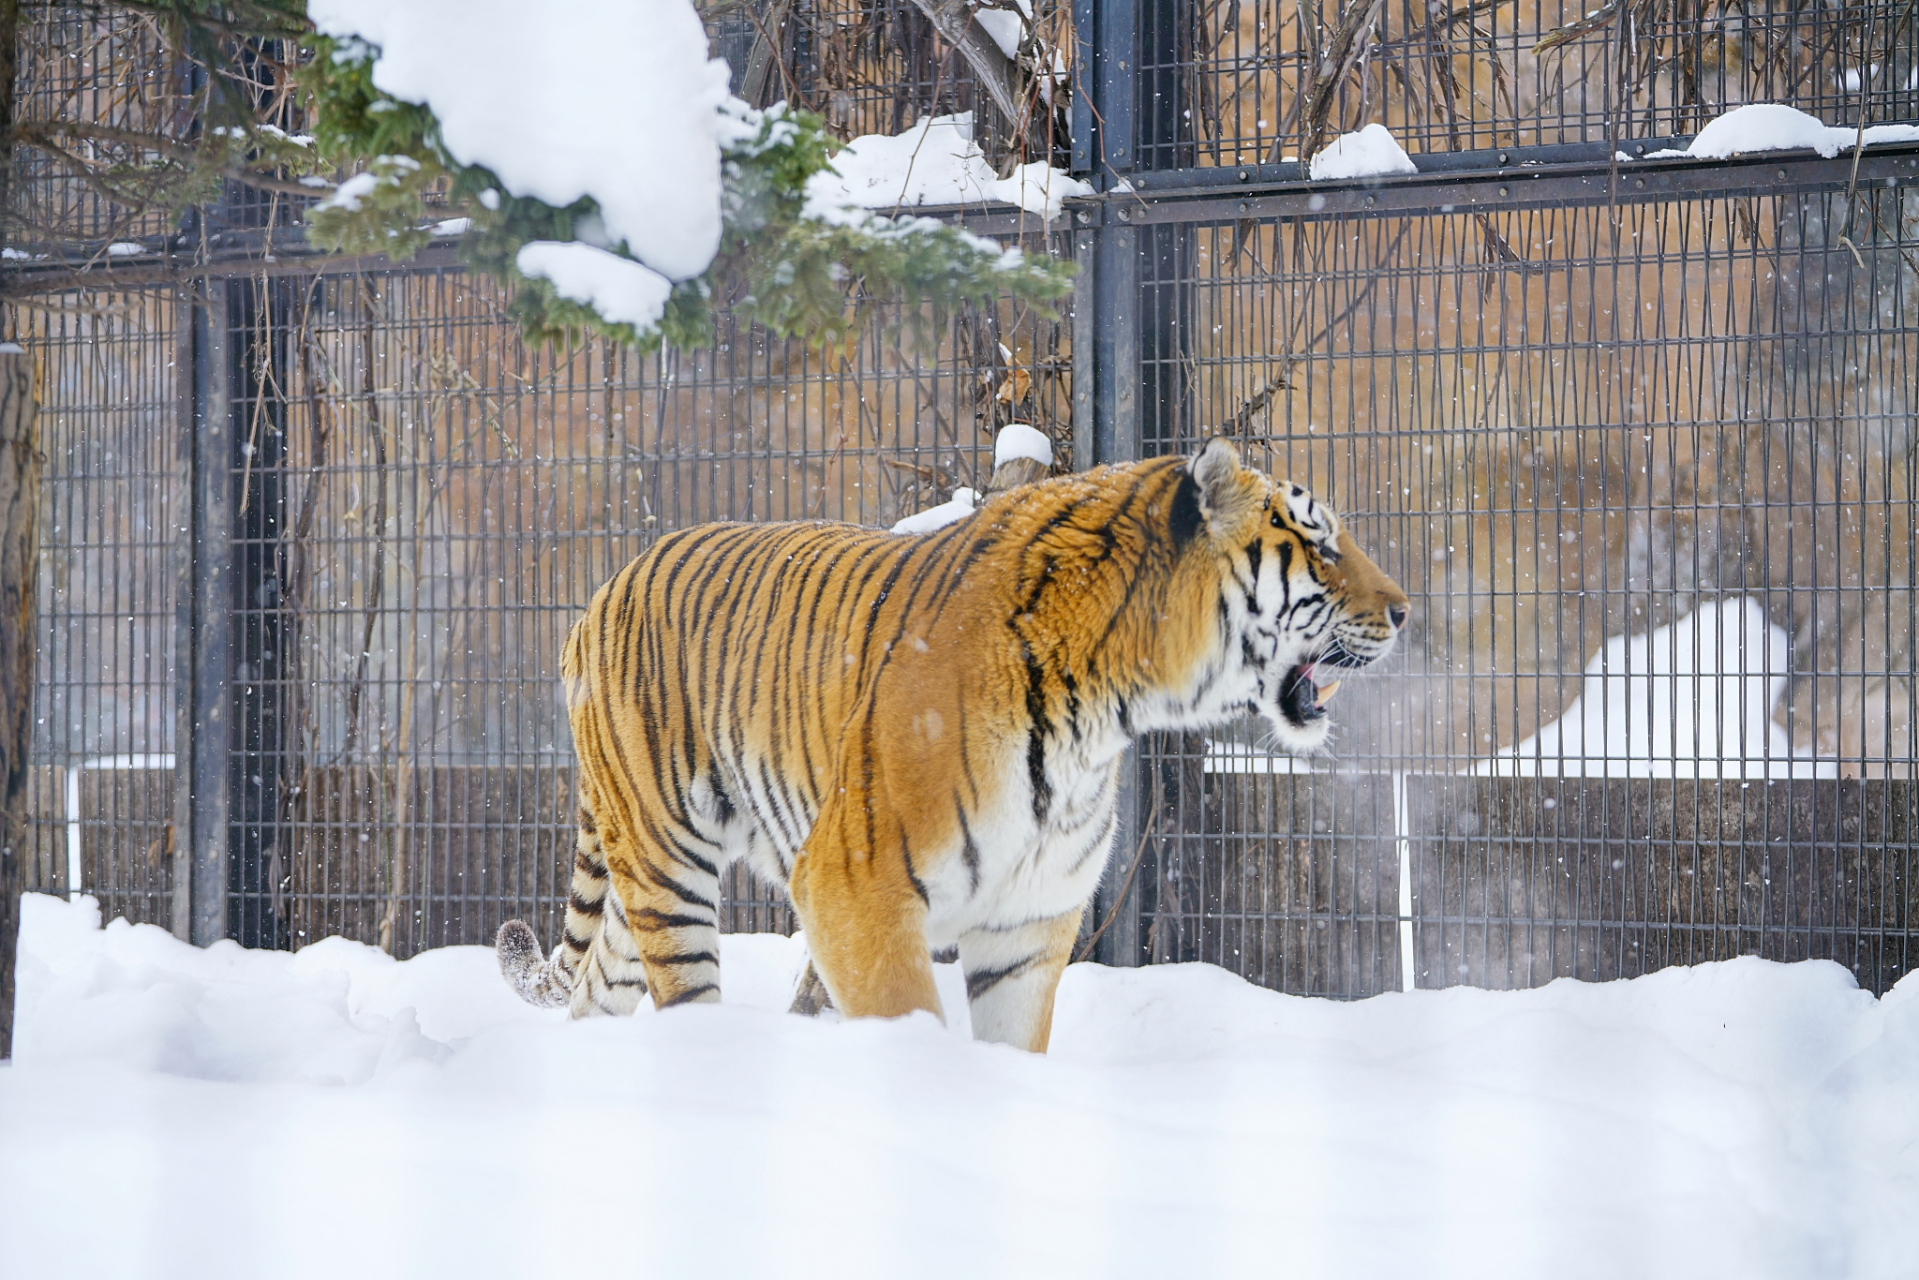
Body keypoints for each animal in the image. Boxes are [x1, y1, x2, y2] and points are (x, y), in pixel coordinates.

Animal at [496, 438, 1409, 1052]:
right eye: (1322, 544)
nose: (1404, 611)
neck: (1110, 709)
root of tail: (601, 591)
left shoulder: (1029, 922)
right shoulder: (856, 890)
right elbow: (909, 1021)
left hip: (640, 882)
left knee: (593, 992)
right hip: (667, 865)